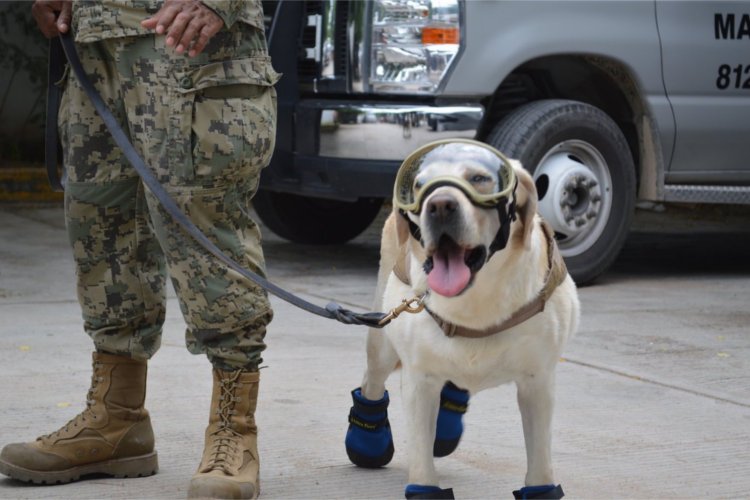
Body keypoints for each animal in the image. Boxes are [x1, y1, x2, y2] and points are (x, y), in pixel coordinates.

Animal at [346, 139, 580, 498]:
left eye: (479, 178)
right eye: (419, 185)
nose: (440, 205)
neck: (474, 304)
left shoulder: (538, 381)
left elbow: (540, 462)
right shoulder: (419, 380)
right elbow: (421, 456)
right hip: (382, 339)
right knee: (372, 379)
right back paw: (367, 441)